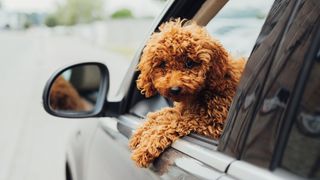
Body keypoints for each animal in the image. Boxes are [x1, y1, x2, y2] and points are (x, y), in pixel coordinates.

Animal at [129, 19, 244, 168]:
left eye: (189, 63)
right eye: (163, 64)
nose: (174, 89)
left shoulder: (215, 123)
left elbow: (177, 121)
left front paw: (148, 145)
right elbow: (164, 113)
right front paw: (141, 131)